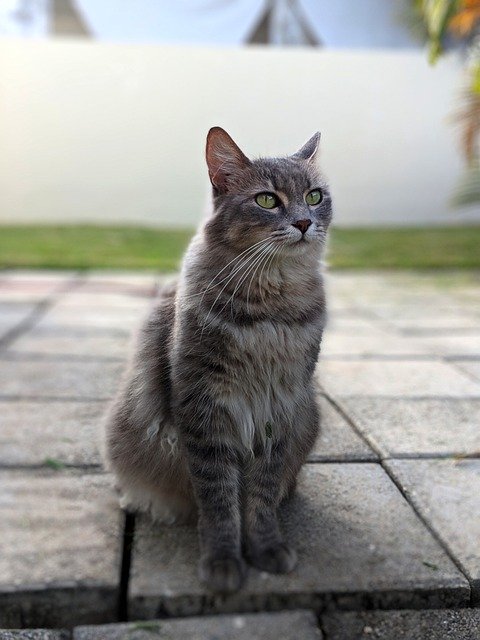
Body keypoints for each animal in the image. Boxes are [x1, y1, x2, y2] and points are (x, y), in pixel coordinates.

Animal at [105, 126, 332, 596]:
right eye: (267, 200)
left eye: (315, 196)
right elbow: (219, 499)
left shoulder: (280, 405)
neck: (270, 311)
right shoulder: (204, 406)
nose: (304, 222)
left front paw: (266, 548)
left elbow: (261, 496)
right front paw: (224, 561)